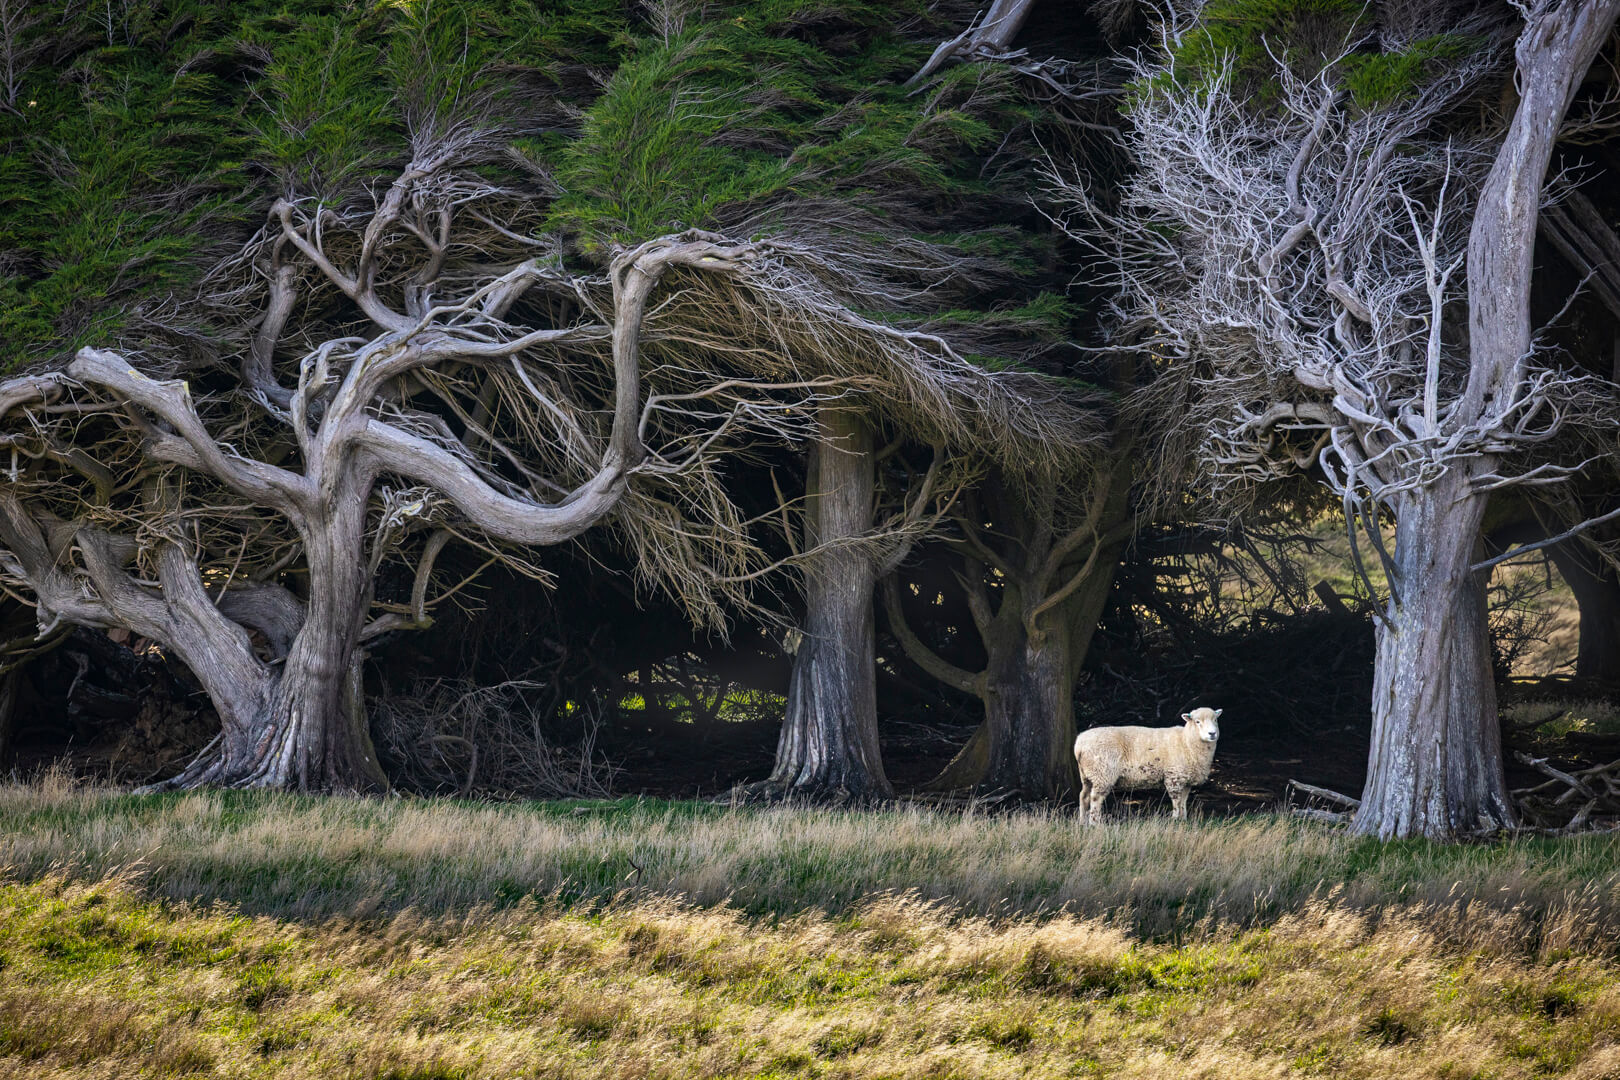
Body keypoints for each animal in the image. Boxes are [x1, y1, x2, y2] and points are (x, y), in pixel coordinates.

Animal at [1073, 707, 1221, 823]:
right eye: (1197, 721)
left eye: (1215, 720)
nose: (1212, 733)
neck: (1186, 740)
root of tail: (1079, 743)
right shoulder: (1174, 777)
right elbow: (1176, 801)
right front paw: (1175, 820)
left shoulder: (1186, 780)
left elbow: (1183, 802)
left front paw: (1184, 820)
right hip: (1102, 772)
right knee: (1095, 798)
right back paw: (1095, 823)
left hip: (1087, 774)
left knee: (1083, 796)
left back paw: (1082, 822)